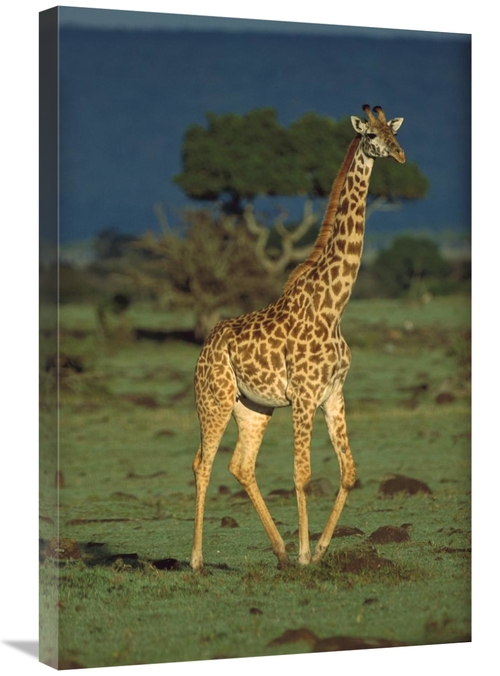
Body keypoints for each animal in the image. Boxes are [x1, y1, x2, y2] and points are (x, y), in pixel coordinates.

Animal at [190, 104, 406, 571]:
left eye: (394, 132)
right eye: (371, 135)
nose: (399, 155)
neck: (334, 305)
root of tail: (205, 347)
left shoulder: (333, 394)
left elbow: (349, 471)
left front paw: (319, 550)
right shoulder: (304, 397)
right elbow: (302, 474)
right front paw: (309, 554)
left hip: (253, 407)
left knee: (240, 464)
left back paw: (280, 551)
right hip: (214, 400)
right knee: (202, 463)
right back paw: (196, 560)